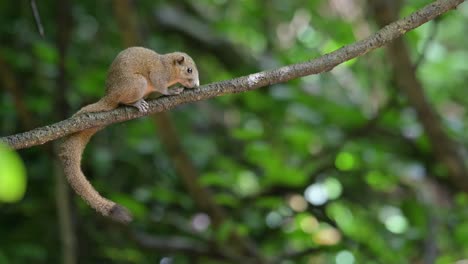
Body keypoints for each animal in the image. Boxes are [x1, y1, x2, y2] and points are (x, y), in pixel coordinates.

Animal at [57, 47, 198, 223]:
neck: (168, 66)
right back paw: (136, 103)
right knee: (124, 101)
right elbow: (161, 87)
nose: (197, 85)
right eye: (189, 70)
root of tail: (109, 96)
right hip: (138, 83)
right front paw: (172, 91)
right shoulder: (159, 74)